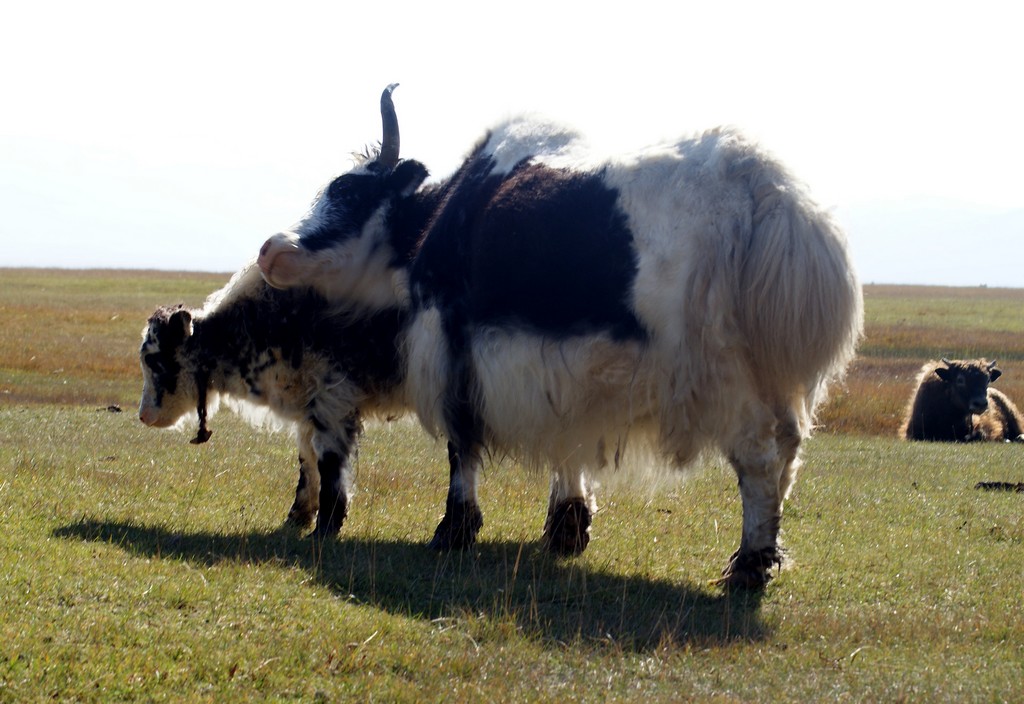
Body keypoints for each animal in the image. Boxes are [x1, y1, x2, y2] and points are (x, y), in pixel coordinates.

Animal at [256, 83, 864, 589]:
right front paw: (566, 530)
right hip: (776, 381)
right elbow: (569, 442)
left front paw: (453, 531)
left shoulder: (454, 347)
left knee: (760, 459)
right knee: (788, 454)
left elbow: (460, 444)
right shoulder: (564, 369)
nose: (272, 250)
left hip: (728, 377)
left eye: (349, 192)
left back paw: (747, 568)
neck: (443, 214)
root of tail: (769, 195)